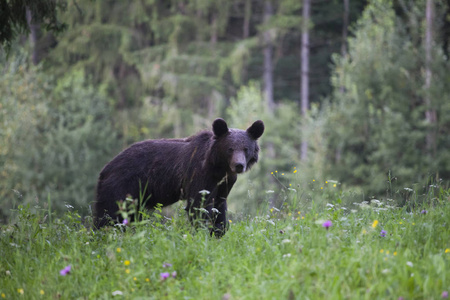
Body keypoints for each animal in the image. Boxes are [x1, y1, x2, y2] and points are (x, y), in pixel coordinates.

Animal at [94, 118, 264, 237]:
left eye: (246, 149)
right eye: (230, 149)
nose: (239, 165)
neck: (219, 167)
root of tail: (105, 169)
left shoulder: (225, 182)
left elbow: (220, 206)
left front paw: (218, 232)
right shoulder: (200, 174)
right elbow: (199, 205)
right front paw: (202, 233)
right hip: (122, 187)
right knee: (109, 213)